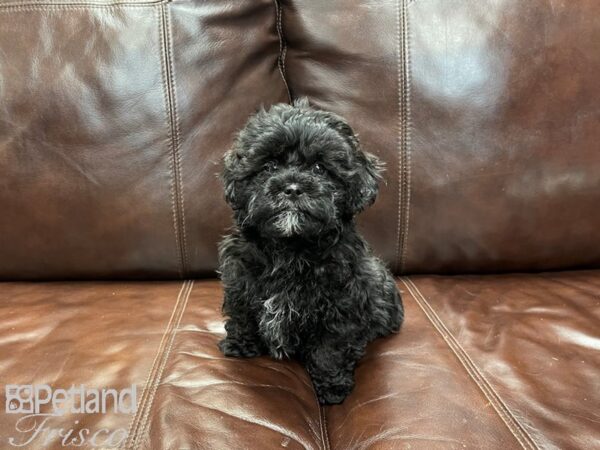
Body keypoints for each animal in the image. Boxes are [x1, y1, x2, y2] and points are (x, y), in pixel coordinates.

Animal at [217, 98, 404, 404]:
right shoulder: (240, 277)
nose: (292, 188)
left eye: (319, 168)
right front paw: (240, 345)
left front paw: (331, 387)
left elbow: (330, 348)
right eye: (269, 166)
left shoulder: (342, 305)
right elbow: (242, 312)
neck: (291, 247)